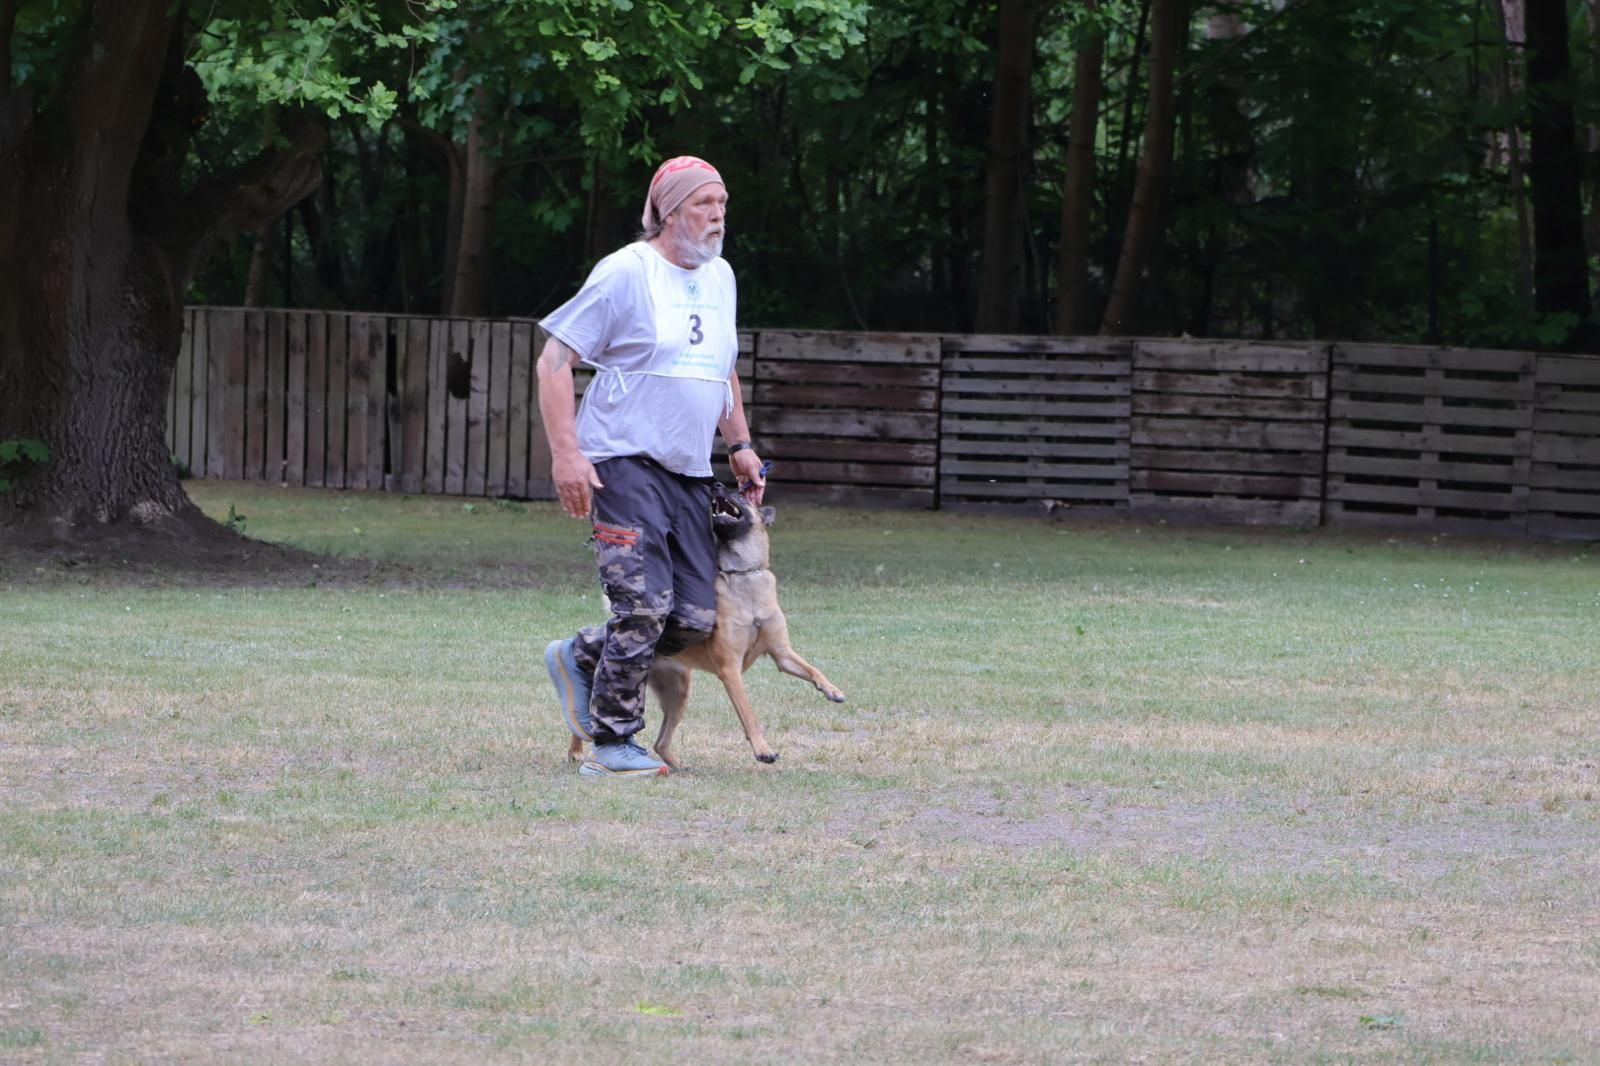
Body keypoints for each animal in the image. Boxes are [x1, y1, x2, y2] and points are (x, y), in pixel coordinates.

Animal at [568, 485, 845, 769]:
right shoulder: (730, 669)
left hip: (678, 694)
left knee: (660, 742)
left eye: (741, 496)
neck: (744, 576)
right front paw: (763, 749)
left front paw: (832, 689)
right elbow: (748, 713)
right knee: (584, 721)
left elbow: (812, 668)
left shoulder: (781, 653)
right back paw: (576, 746)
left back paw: (676, 767)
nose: (717, 486)